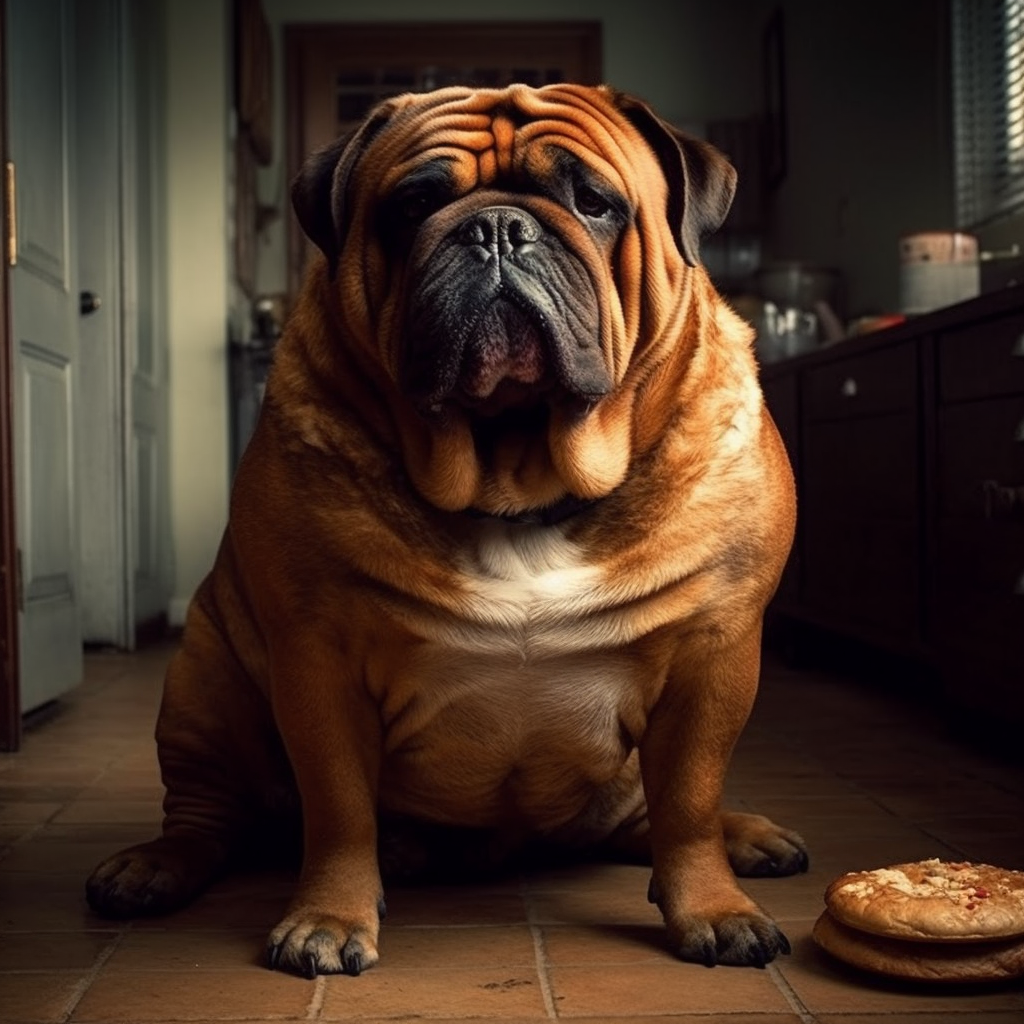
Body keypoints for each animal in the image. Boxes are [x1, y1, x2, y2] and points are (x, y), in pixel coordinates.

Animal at [86, 81, 806, 974]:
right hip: (202, 688)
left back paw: (750, 837)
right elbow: (339, 809)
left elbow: (691, 802)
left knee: (650, 815)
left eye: (595, 203)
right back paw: (151, 869)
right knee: (204, 819)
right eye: (412, 205)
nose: (497, 227)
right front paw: (328, 919)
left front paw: (713, 905)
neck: (518, 476)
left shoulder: (715, 654)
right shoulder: (317, 660)